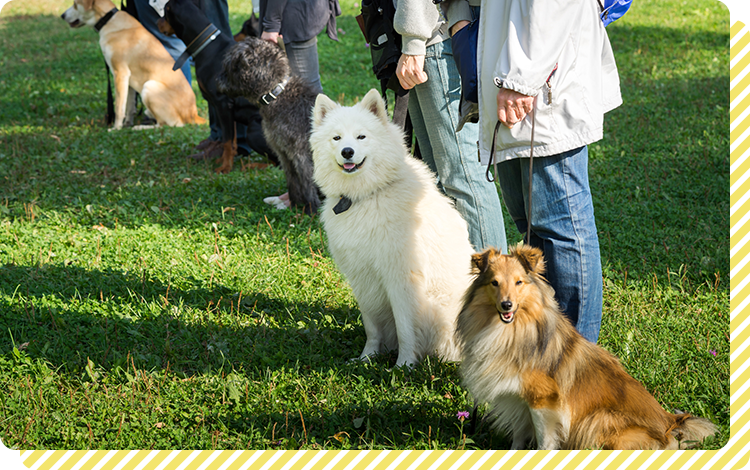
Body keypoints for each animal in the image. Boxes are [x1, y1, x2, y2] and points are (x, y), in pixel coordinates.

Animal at [61, 0, 204, 129]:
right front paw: (126, 125)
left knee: (169, 125)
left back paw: (140, 127)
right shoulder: (129, 79)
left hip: (149, 86)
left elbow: (119, 107)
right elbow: (129, 106)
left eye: (75, 4)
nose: (62, 15)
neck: (108, 20)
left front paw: (116, 129)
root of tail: (193, 114)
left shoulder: (120, 73)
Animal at [219, 38, 322, 215]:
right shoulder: (284, 154)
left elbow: (308, 183)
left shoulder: (302, 156)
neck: (276, 95)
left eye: (230, 66)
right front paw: (294, 206)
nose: (217, 82)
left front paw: (311, 210)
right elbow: (293, 181)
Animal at [312, 88, 476, 368]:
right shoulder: (362, 277)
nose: (347, 152)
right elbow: (372, 327)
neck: (366, 195)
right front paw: (367, 358)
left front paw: (404, 366)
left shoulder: (401, 278)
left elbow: (405, 327)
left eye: (361, 136)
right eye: (336, 137)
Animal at [458, 244, 724, 450]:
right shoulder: (517, 399)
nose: (507, 305)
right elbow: (519, 435)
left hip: (599, 419)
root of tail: (671, 424)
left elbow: (545, 439)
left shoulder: (543, 401)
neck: (510, 330)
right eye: (494, 283)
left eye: (519, 282)